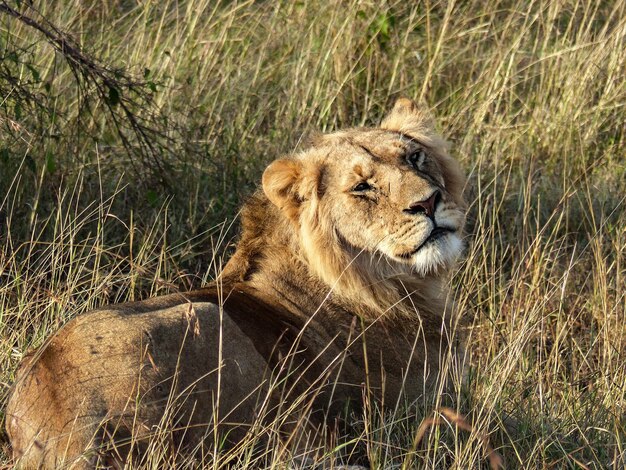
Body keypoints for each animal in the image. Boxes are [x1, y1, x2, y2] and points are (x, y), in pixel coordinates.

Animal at [3, 97, 464, 468]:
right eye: (362, 187)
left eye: (416, 157)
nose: (429, 202)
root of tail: (68, 432)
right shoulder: (426, 404)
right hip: (210, 323)